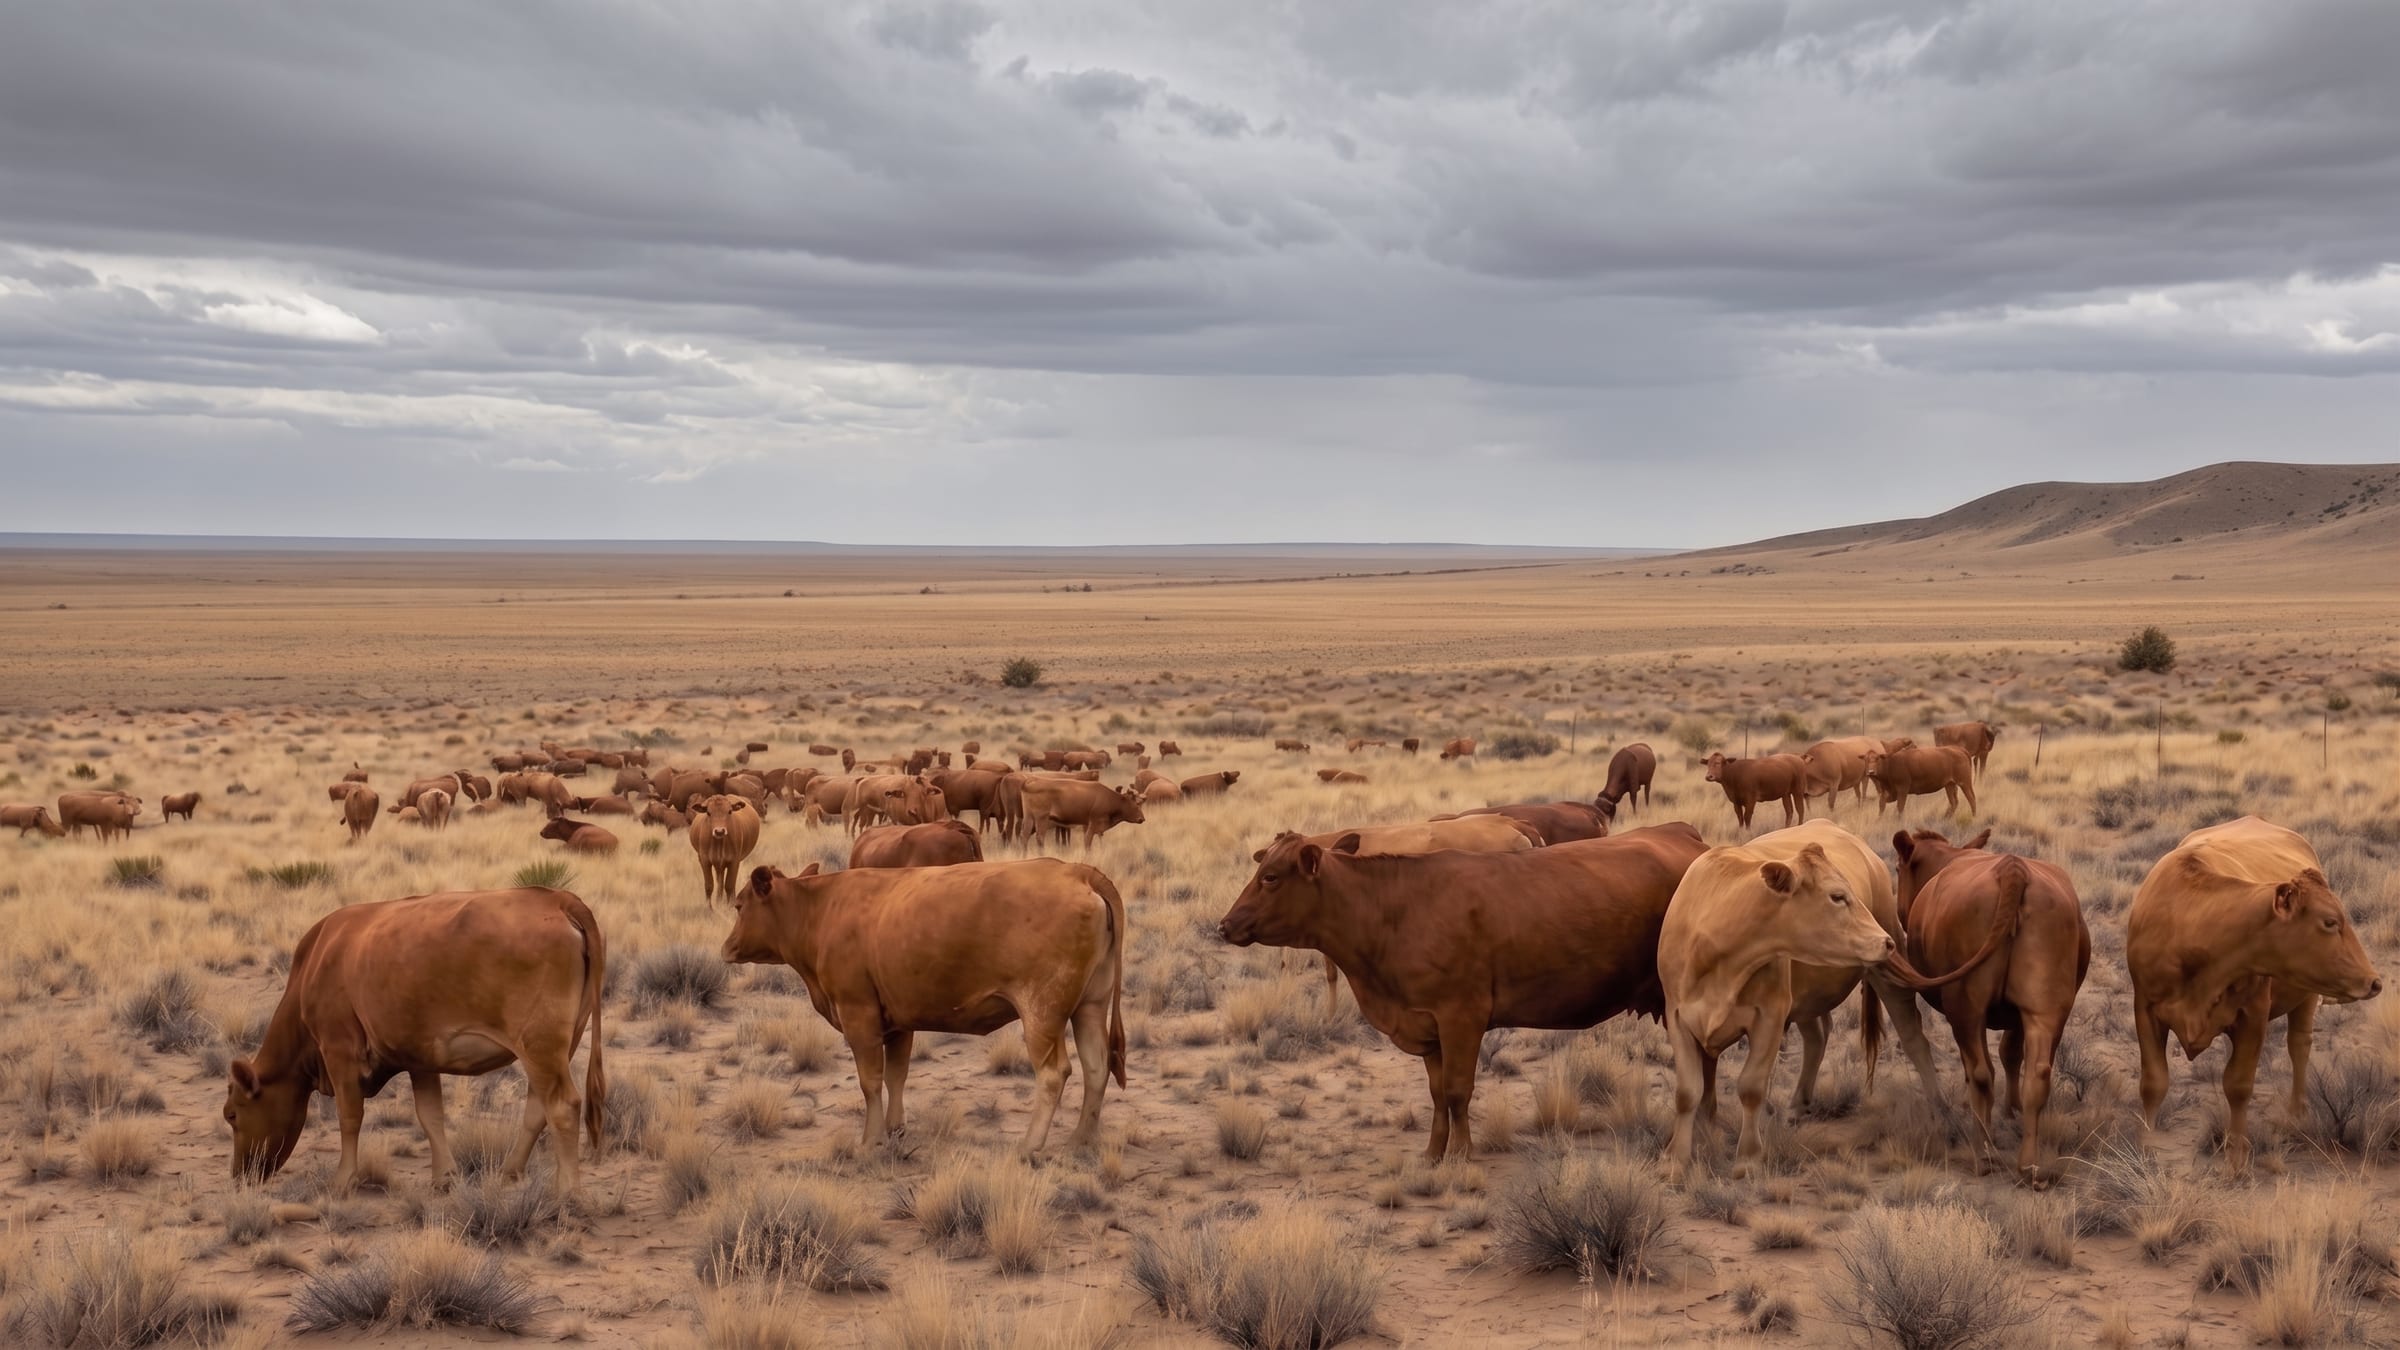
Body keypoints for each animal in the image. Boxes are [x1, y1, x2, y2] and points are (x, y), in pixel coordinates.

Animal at [224, 888, 605, 1195]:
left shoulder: (338, 1049)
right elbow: (430, 1115)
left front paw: (343, 1180)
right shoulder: (420, 1056)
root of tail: (557, 898)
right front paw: (444, 1177)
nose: (239, 1176)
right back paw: (510, 1172)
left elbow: (350, 1116)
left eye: (231, 1115)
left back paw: (567, 1192)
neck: (316, 962)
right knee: (538, 1108)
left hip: (540, 1045)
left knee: (562, 1106)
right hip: (557, 1046)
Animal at [727, 860, 1126, 1153]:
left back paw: (1030, 1146)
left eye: (739, 905)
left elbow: (870, 1081)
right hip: (1090, 1005)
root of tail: (1076, 871)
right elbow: (896, 1075)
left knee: (1054, 1072)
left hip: (1041, 1012)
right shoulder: (898, 1021)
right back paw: (1080, 1140)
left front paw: (870, 1140)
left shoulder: (858, 1014)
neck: (821, 910)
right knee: (1096, 1066)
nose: (727, 947)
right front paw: (894, 1128)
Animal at [1221, 824, 1708, 1160]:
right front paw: (1433, 1153)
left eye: (1270, 877)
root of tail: (1682, 834)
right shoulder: (1427, 1024)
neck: (1393, 913)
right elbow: (1438, 1093)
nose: (1224, 925)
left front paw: (1461, 1154)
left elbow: (1458, 1090)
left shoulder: (1460, 1016)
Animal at [1892, 829, 2089, 1185]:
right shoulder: (2018, 1015)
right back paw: (2029, 1165)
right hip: (2046, 1009)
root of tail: (2012, 870)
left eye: (1898, 869)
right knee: (2038, 1073)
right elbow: (2011, 1053)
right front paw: (2011, 1110)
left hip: (1965, 1006)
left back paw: (1983, 1153)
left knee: (1981, 1072)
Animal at [2128, 817, 2382, 1173]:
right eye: (2330, 922)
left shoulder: (2254, 1017)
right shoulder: (2145, 1008)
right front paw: (2144, 1144)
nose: (2374, 982)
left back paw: (2297, 1110)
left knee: (2299, 1046)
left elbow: (2238, 1085)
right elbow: (2153, 1082)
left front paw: (2237, 1160)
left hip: (2306, 994)